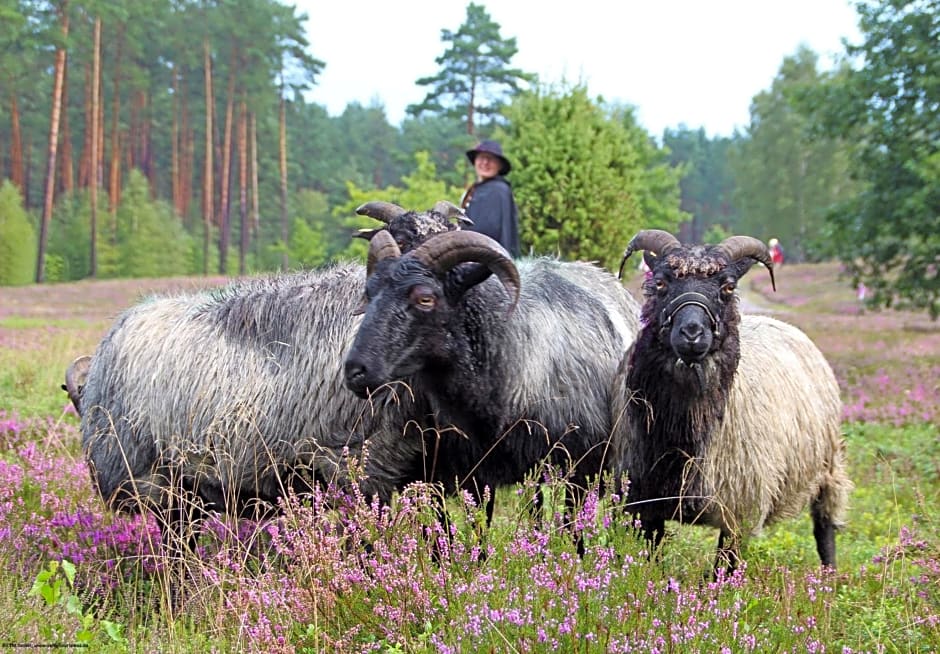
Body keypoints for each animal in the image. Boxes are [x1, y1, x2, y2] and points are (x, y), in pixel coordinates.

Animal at [72, 201, 466, 544]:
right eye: (399, 239)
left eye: (451, 233)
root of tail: (121, 326)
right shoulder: (357, 466)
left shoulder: (424, 469)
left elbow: (440, 531)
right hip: (157, 482)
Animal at [342, 231, 644, 532]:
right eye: (369, 293)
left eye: (425, 299)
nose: (355, 371)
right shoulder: (478, 472)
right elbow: (479, 526)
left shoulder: (581, 466)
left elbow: (573, 526)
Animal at [608, 232, 852, 576]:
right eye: (660, 282)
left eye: (727, 287)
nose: (692, 332)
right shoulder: (641, 501)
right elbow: (649, 558)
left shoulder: (739, 509)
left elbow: (724, 568)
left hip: (828, 465)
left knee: (825, 526)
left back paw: (829, 577)